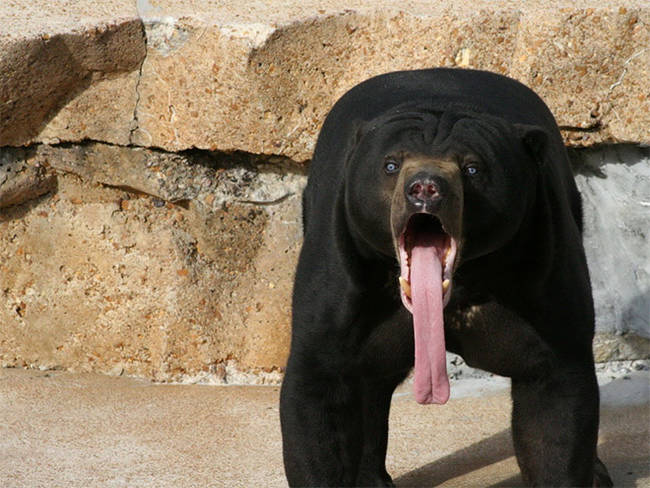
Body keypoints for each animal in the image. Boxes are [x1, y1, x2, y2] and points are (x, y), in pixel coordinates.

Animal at [280, 68, 612, 488]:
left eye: (472, 168)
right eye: (391, 165)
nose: (425, 188)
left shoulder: (544, 273)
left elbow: (556, 408)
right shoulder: (340, 283)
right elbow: (318, 398)